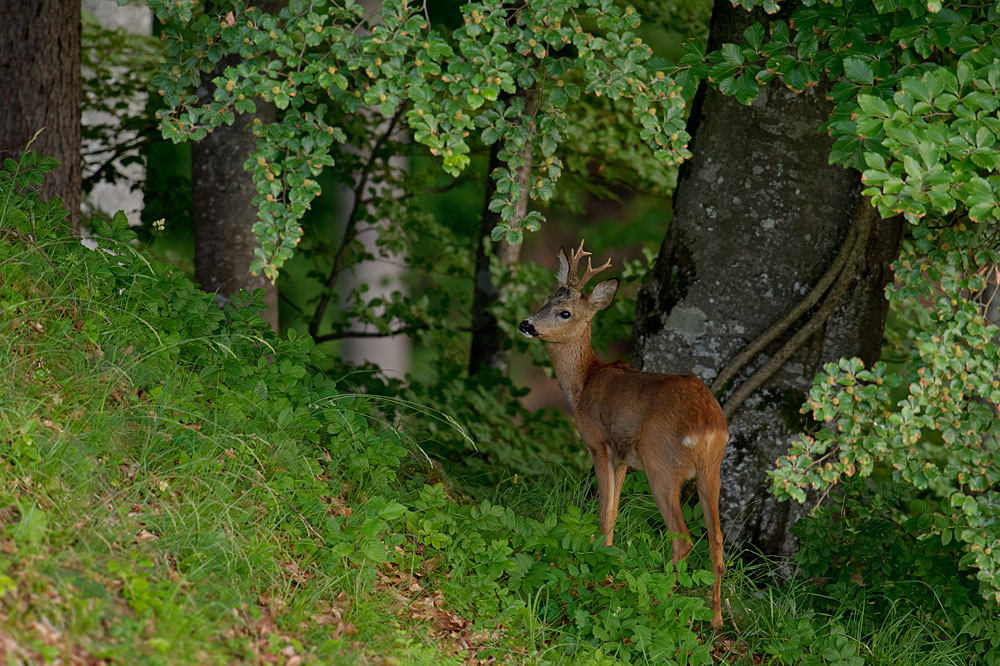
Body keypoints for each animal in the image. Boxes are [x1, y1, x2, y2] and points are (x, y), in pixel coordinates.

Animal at [520, 241, 732, 624]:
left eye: (565, 312)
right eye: (545, 298)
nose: (526, 324)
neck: (584, 382)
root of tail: (710, 426)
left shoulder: (600, 444)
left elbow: (605, 513)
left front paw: (598, 567)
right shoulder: (621, 457)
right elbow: (615, 511)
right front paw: (606, 561)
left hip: (661, 464)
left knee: (684, 538)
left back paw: (658, 602)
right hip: (713, 471)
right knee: (718, 539)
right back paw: (716, 618)